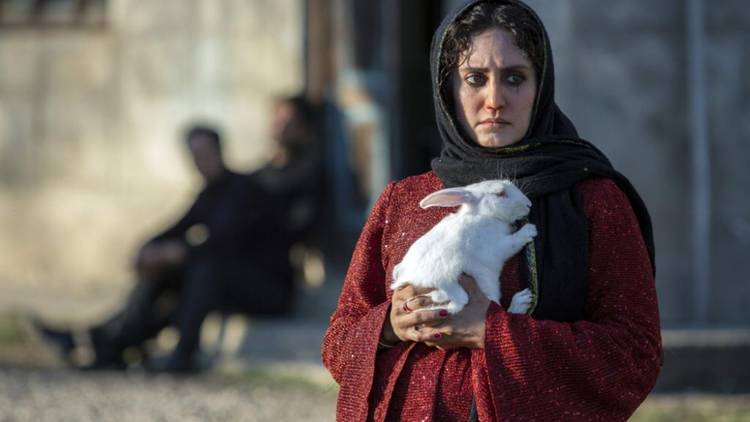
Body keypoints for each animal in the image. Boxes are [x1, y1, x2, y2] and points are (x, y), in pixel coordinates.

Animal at [394, 180, 540, 314]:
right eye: (500, 193)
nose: (529, 204)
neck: (484, 215)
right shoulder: (494, 248)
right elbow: (513, 242)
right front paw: (529, 230)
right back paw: (522, 300)